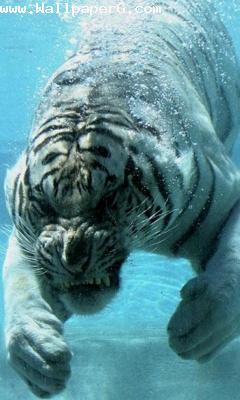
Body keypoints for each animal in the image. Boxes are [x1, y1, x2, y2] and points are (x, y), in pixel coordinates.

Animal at [2, 0, 240, 396]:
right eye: (43, 203)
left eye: (107, 196)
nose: (72, 259)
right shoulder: (26, 239)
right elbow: (19, 290)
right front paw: (38, 357)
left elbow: (230, 273)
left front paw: (198, 327)